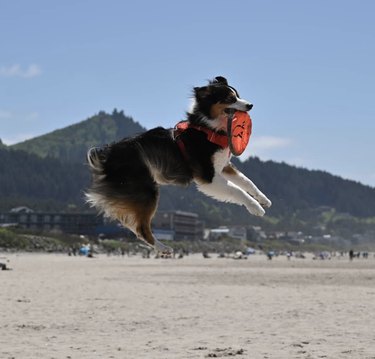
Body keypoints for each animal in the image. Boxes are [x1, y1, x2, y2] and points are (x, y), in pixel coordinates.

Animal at [86, 76, 272, 253]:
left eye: (238, 95)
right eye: (230, 98)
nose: (250, 105)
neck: (208, 129)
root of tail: (106, 154)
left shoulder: (224, 166)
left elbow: (247, 182)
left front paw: (263, 199)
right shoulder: (208, 177)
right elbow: (237, 190)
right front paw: (255, 207)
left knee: (133, 225)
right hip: (147, 191)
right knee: (141, 228)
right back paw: (163, 248)